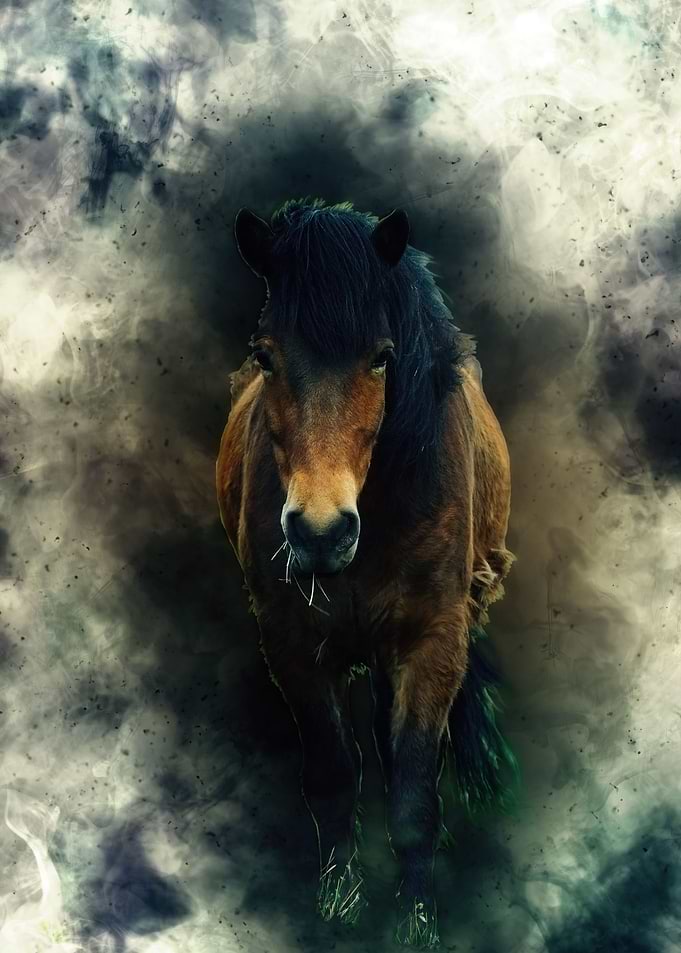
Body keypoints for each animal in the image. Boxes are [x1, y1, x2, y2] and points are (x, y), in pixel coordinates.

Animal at [216, 197, 517, 947]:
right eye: (264, 355)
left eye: (382, 357)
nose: (321, 533)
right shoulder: (293, 647)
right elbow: (330, 776)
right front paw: (337, 905)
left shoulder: (432, 644)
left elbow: (411, 793)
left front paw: (415, 920)